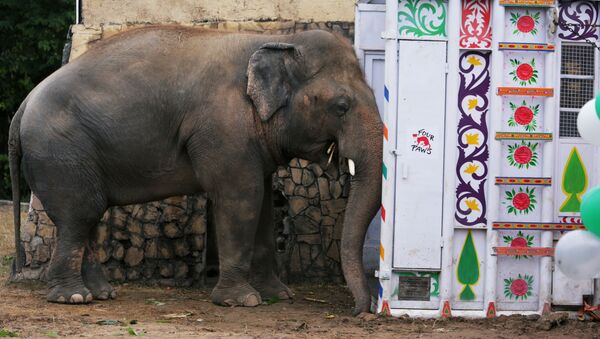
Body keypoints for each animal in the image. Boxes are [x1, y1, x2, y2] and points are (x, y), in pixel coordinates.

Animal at [8, 27, 380, 316]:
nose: (357, 311)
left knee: (86, 216)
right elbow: (241, 198)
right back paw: (73, 297)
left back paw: (102, 293)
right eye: (341, 106)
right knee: (80, 215)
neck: (277, 39)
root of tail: (22, 106)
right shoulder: (222, 128)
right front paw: (242, 302)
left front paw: (278, 295)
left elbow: (262, 203)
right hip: (61, 151)